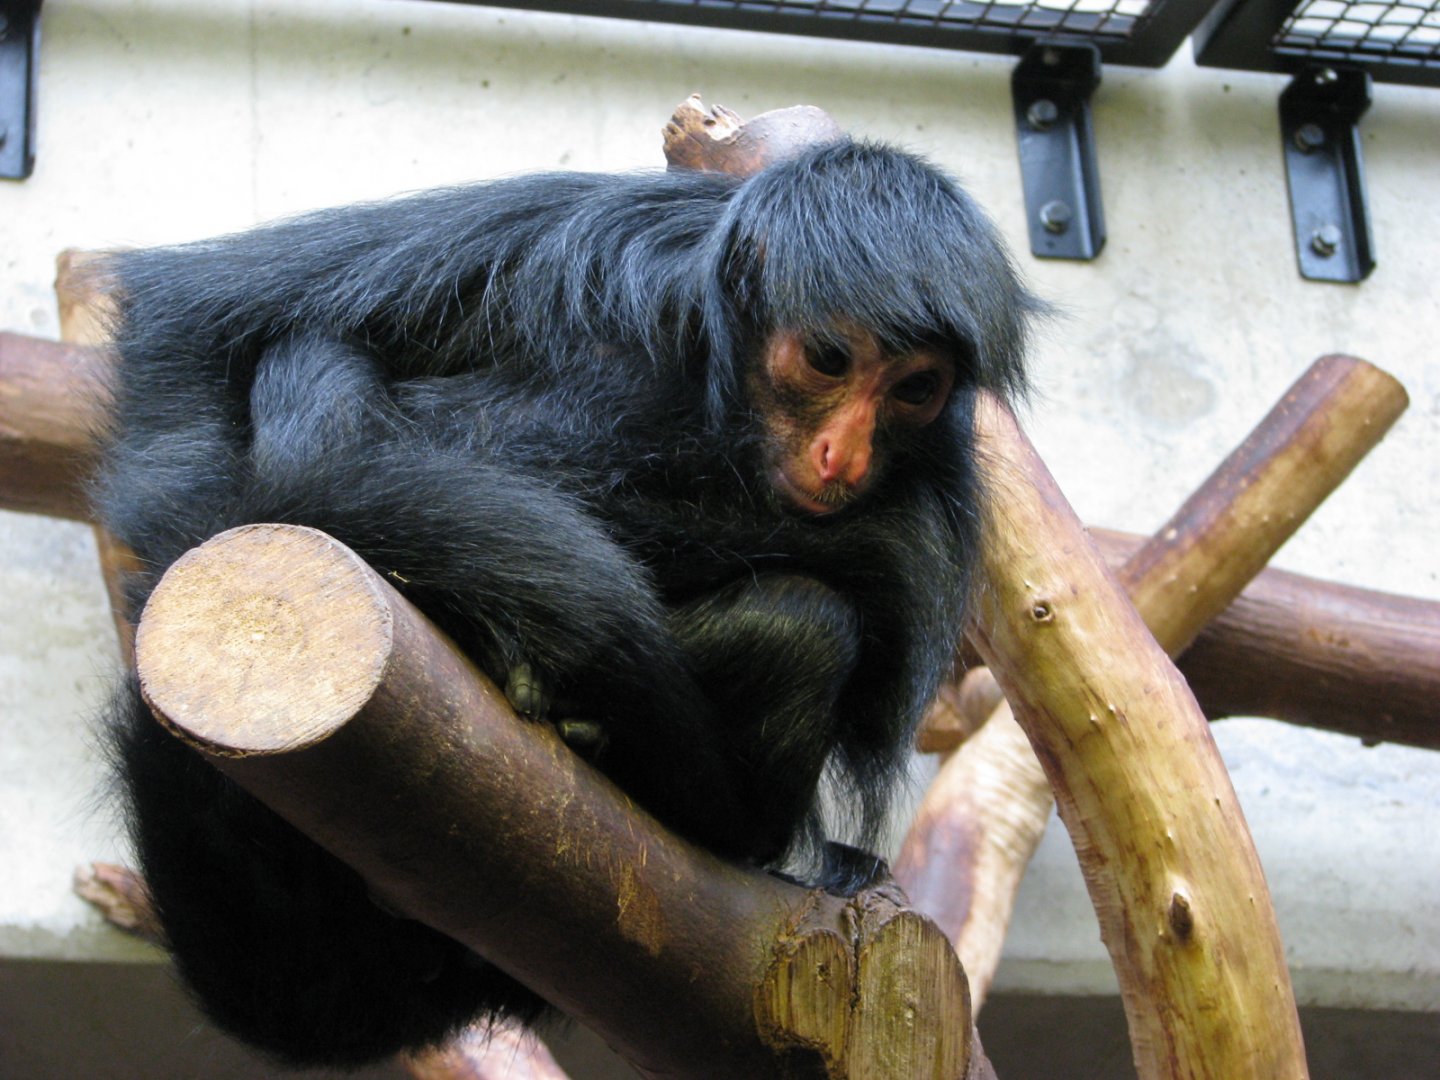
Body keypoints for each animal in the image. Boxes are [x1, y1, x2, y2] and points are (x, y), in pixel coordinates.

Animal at [92, 138, 1040, 1067]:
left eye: (913, 389)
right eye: (830, 360)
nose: (843, 451)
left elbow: (889, 591)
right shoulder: (595, 229)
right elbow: (193, 322)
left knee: (803, 630)